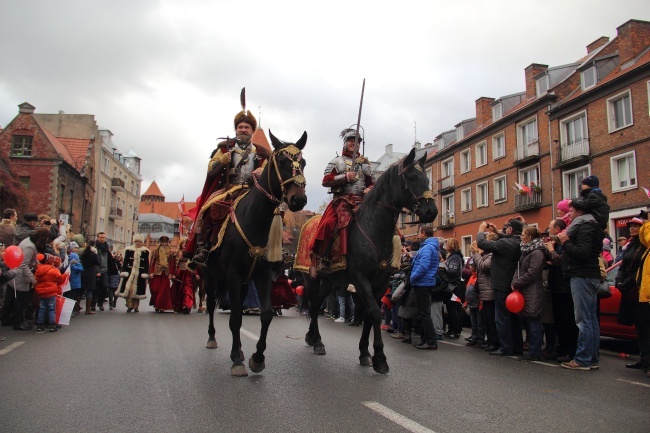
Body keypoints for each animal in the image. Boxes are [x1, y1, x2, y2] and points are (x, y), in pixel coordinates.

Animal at [294, 148, 436, 372]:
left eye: (427, 179)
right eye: (412, 177)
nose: (431, 211)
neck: (373, 229)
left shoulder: (381, 281)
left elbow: (370, 314)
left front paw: (365, 353)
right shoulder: (361, 278)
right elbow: (375, 314)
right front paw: (380, 358)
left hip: (330, 281)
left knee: (317, 305)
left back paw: (312, 337)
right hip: (311, 278)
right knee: (315, 305)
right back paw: (317, 342)